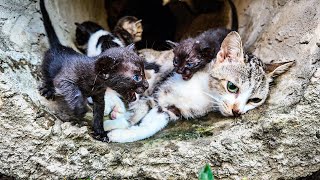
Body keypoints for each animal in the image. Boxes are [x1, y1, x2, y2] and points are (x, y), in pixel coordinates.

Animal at [38, 0, 148, 141]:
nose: (147, 85)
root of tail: (60, 46)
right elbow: (74, 92)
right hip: (48, 65)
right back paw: (48, 89)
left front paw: (100, 133)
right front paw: (80, 109)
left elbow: (98, 116)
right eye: (137, 77)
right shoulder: (64, 79)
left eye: (143, 74)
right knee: (46, 74)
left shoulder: (99, 97)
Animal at [106, 31, 294, 143]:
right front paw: (113, 123)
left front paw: (120, 134)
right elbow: (137, 110)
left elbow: (150, 125)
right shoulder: (158, 90)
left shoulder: (171, 109)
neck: (204, 93)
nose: (236, 111)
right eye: (232, 86)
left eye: (255, 100)